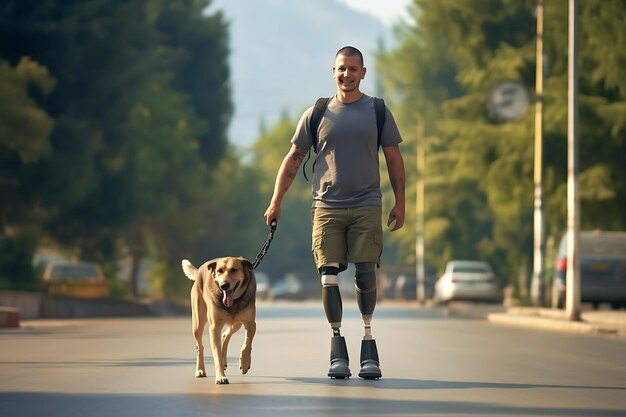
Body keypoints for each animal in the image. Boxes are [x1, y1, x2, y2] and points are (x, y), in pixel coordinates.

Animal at [180, 254, 256, 384]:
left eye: (234, 270)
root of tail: (199, 270)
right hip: (198, 321)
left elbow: (247, 343)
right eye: (220, 271)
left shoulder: (251, 323)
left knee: (226, 334)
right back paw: (200, 370)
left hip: (236, 323)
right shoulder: (214, 327)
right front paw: (221, 376)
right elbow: (216, 355)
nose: (224, 285)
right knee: (199, 346)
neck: (234, 302)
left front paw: (245, 364)